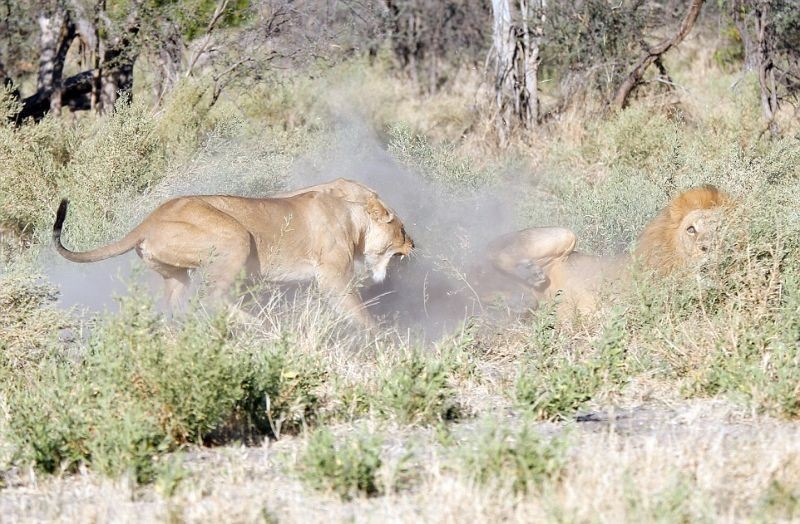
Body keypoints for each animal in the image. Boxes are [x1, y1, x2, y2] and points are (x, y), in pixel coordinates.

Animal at [51, 187, 412, 328]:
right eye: (402, 229)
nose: (414, 244)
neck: (354, 220)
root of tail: (150, 219)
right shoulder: (333, 276)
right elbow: (357, 310)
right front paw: (379, 336)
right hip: (235, 237)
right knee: (212, 299)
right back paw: (257, 325)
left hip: (176, 274)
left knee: (176, 307)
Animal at [472, 184, 728, 316]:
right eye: (691, 229)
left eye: (720, 228)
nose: (707, 248)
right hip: (564, 234)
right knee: (492, 253)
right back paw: (528, 274)